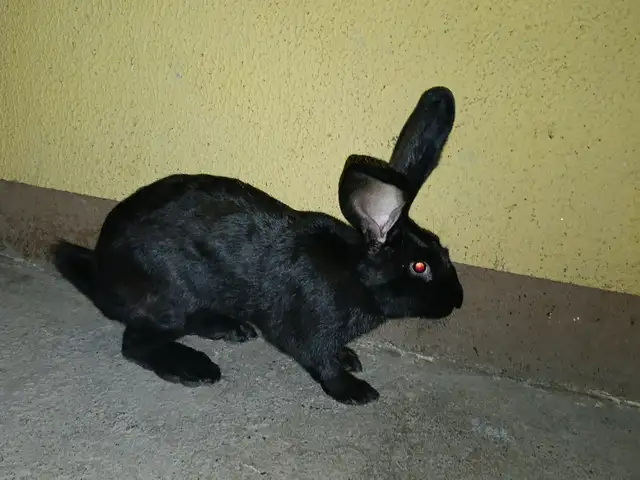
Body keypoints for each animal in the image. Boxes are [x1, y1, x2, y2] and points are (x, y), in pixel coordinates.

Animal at [51, 86, 463, 406]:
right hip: (168, 295)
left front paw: (349, 357)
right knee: (136, 342)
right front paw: (355, 391)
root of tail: (103, 271)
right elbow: (321, 362)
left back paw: (232, 329)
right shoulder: (307, 329)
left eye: (443, 249)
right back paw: (194, 368)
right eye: (420, 267)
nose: (458, 300)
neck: (355, 274)